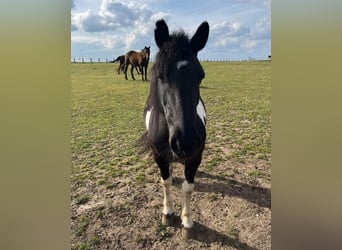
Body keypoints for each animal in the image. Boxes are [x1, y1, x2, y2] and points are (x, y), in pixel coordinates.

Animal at [139, 18, 208, 237]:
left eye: (201, 76)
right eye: (160, 75)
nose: (186, 141)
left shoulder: (195, 157)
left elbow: (188, 187)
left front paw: (187, 221)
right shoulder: (158, 156)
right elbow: (166, 182)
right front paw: (167, 213)